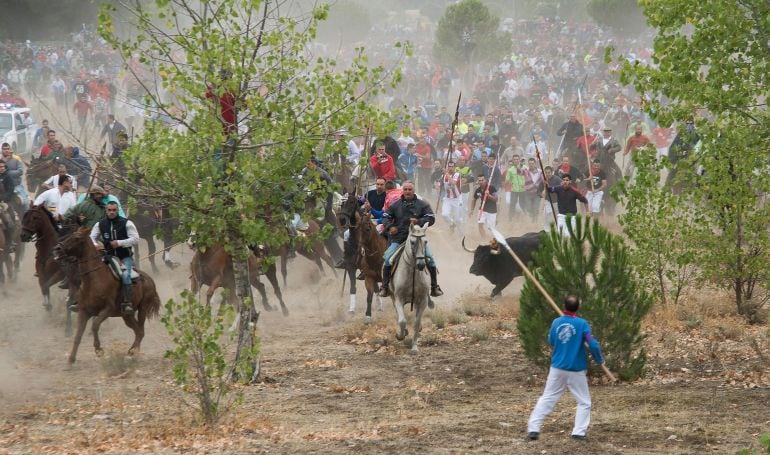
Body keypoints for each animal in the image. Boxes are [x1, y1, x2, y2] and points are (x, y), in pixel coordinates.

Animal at [53, 228, 162, 364]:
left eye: (77, 238)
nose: (57, 248)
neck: (94, 280)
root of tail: (150, 280)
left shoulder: (107, 310)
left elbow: (95, 326)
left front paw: (99, 350)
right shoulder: (83, 311)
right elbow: (78, 334)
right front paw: (71, 359)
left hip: (143, 309)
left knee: (141, 331)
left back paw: (132, 352)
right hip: (127, 315)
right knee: (138, 330)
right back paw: (132, 352)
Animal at [384, 224, 432, 356]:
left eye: (426, 242)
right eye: (412, 242)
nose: (421, 265)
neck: (413, 273)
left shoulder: (423, 300)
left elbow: (416, 323)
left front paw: (414, 347)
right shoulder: (398, 298)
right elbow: (402, 320)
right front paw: (400, 335)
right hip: (393, 297)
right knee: (399, 314)